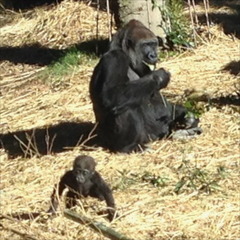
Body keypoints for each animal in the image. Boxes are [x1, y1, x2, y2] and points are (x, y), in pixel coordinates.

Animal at [89, 19, 202, 153]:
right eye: (145, 45)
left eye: (153, 44)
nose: (153, 55)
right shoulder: (115, 58)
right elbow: (111, 96)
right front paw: (159, 76)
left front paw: (186, 116)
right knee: (123, 107)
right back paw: (128, 147)